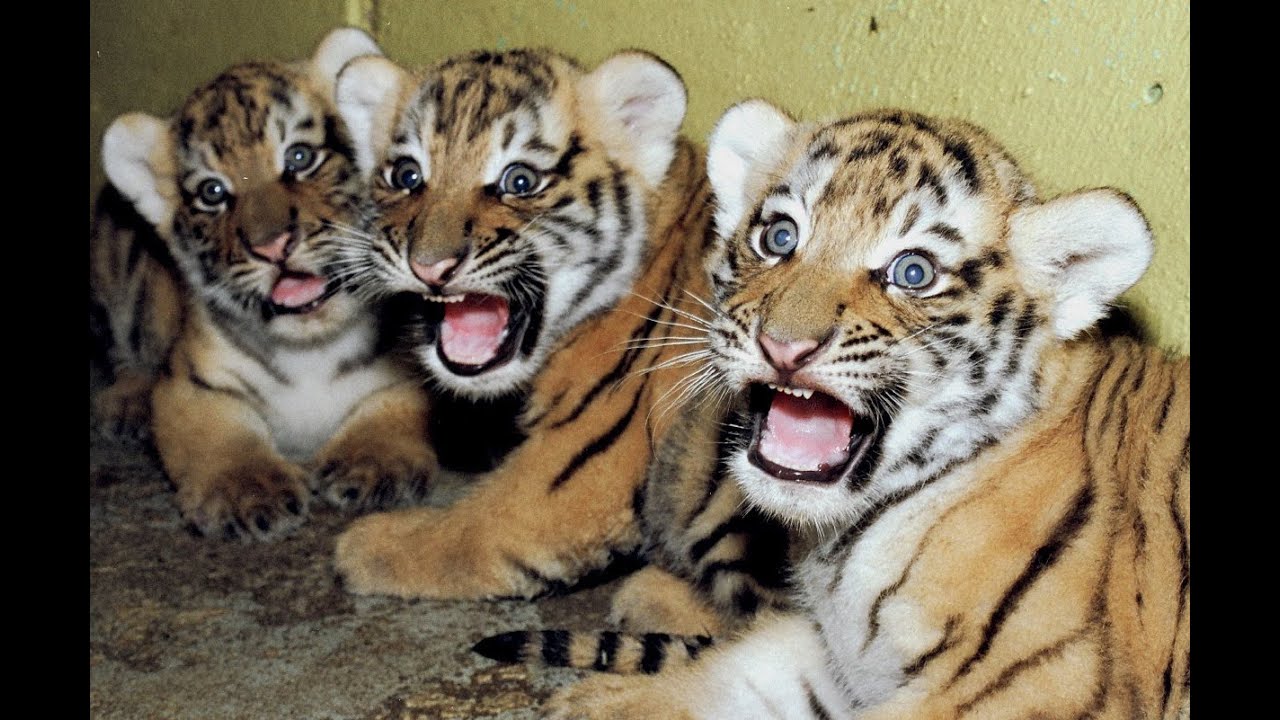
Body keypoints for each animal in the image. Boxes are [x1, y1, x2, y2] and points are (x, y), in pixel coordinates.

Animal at [94, 28, 438, 540]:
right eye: (212, 192)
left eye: (299, 157)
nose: (272, 245)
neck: (312, 350)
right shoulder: (193, 385)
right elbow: (220, 436)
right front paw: (248, 491)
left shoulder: (412, 370)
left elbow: (394, 409)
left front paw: (372, 465)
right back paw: (126, 405)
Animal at [328, 48, 800, 639]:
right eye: (407, 175)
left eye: (519, 180)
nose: (429, 267)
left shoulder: (577, 467)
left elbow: (474, 525)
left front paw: (366, 545)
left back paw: (651, 596)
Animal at [541, 102, 1190, 719]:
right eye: (779, 237)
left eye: (913, 272)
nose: (784, 347)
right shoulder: (838, 654)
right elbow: (733, 675)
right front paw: (595, 703)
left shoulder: (1034, 687)